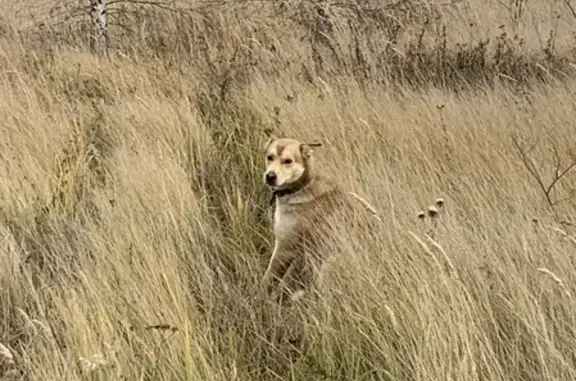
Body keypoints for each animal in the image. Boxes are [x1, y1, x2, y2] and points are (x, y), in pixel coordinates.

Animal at [260, 135, 378, 302]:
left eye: (288, 161)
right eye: (269, 157)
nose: (270, 176)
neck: (302, 186)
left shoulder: (285, 247)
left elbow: (268, 279)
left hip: (327, 264)